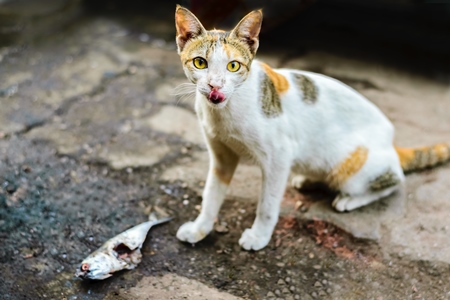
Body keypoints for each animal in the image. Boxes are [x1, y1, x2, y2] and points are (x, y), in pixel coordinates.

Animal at [173, 5, 450, 251]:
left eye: (233, 66)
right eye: (200, 63)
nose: (215, 86)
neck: (224, 111)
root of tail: (392, 141)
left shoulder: (278, 158)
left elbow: (267, 205)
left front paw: (259, 236)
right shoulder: (221, 155)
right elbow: (211, 194)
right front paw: (200, 228)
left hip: (351, 169)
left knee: (395, 179)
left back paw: (350, 199)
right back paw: (308, 179)